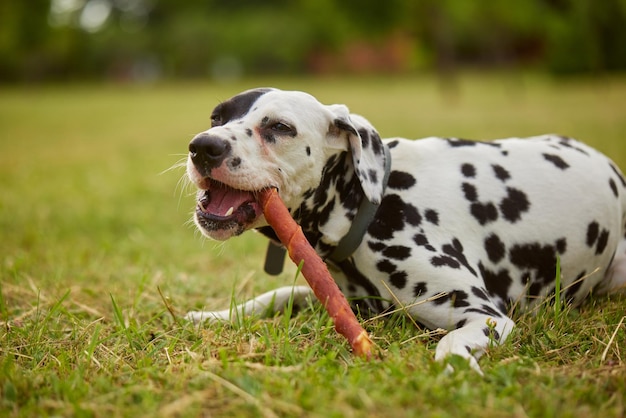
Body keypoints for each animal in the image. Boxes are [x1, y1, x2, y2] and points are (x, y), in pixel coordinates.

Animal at [184, 87, 624, 370]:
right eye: (216, 118)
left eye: (279, 126)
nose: (203, 146)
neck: (371, 206)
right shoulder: (349, 298)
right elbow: (274, 295)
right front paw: (215, 314)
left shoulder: (484, 316)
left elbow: (451, 346)